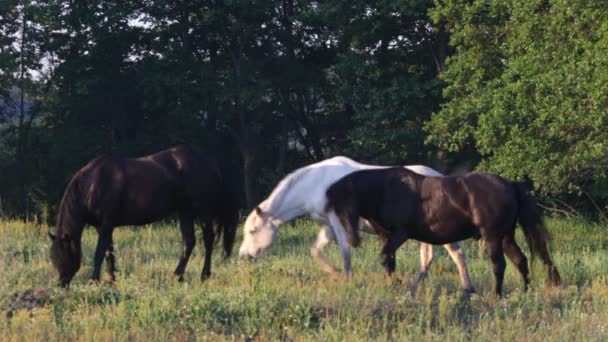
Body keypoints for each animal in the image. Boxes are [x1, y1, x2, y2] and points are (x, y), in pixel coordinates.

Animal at [48, 146, 239, 288]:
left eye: (64, 255)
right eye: (52, 257)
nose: (61, 284)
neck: (93, 184)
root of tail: (210, 162)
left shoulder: (106, 224)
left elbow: (99, 253)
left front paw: (94, 280)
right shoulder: (104, 227)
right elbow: (109, 252)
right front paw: (112, 280)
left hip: (203, 211)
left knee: (208, 239)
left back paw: (204, 275)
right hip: (185, 211)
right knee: (189, 242)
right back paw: (177, 276)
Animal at [240, 156, 478, 292]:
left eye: (252, 231)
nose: (243, 256)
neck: (316, 183)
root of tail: (442, 178)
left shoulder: (338, 222)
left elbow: (345, 254)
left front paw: (347, 280)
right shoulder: (328, 225)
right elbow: (316, 250)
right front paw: (334, 273)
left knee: (455, 254)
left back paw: (466, 288)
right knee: (429, 258)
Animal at [324, 167, 560, 296]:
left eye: (348, 202)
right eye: (335, 207)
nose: (353, 240)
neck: (387, 191)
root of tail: (510, 184)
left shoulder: (400, 234)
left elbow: (385, 257)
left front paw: (397, 283)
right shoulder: (387, 236)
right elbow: (389, 260)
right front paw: (392, 284)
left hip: (492, 236)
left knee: (499, 264)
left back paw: (496, 295)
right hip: (506, 236)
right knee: (520, 260)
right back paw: (525, 291)